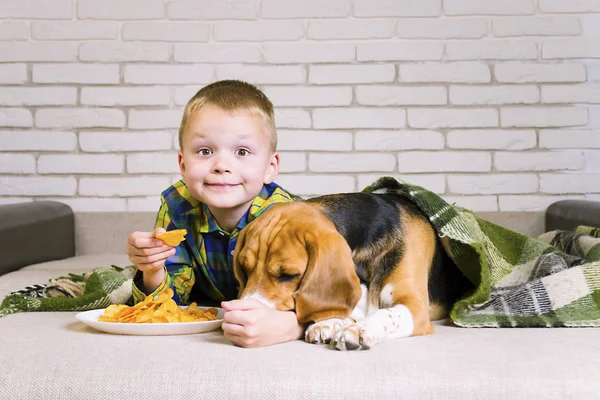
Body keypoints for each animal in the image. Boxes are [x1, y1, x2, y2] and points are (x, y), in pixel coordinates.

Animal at [232, 180, 472, 350]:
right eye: (244, 268)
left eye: (288, 274)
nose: (244, 310)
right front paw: (328, 322)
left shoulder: (415, 307)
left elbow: (386, 314)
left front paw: (359, 328)